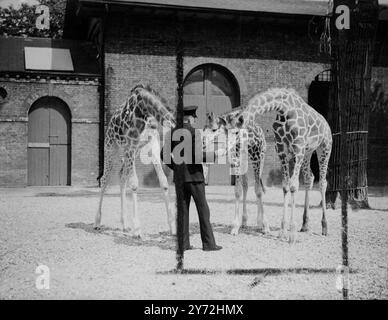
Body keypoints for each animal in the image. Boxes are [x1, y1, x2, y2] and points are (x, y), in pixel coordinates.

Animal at [94, 84, 177, 238]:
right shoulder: (131, 145)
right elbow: (134, 184)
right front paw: (137, 230)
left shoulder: (152, 145)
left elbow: (163, 181)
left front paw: (173, 227)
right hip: (112, 148)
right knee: (105, 179)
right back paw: (97, 222)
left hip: (132, 152)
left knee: (122, 176)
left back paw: (125, 225)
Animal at [235, 87, 332, 242]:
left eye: (238, 131)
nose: (235, 147)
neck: (283, 109)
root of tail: (326, 124)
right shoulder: (281, 148)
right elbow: (286, 186)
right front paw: (282, 231)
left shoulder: (298, 146)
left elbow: (293, 186)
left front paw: (291, 234)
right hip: (308, 152)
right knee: (309, 177)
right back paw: (305, 225)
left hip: (324, 147)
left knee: (323, 182)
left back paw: (324, 226)